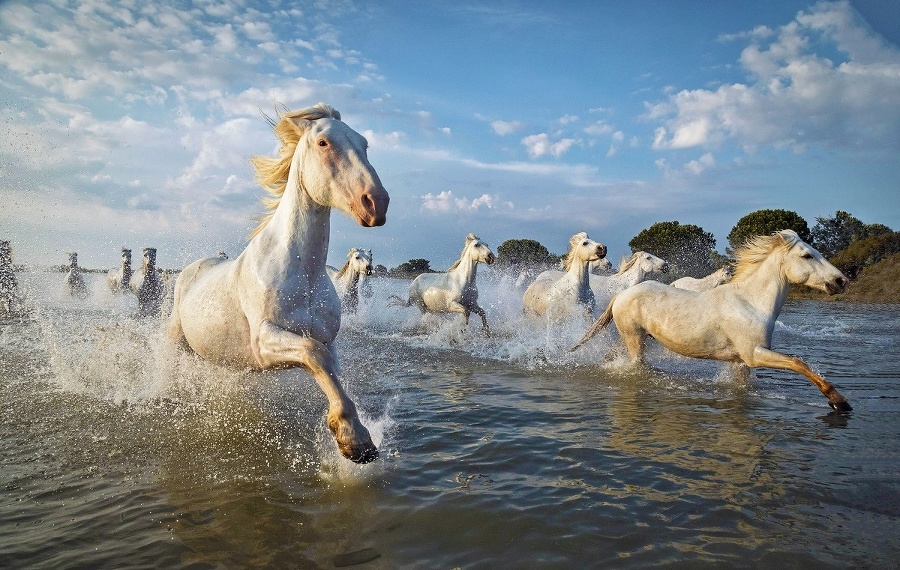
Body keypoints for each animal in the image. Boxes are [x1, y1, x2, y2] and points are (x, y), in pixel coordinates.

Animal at [167, 103, 388, 462]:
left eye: (364, 144)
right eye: (323, 143)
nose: (376, 203)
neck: (303, 274)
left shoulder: (327, 340)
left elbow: (329, 370)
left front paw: (355, 440)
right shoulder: (265, 340)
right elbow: (314, 355)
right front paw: (354, 440)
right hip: (175, 340)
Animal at [572, 229, 856, 410]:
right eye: (807, 255)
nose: (841, 281)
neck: (751, 303)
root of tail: (622, 294)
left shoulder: (741, 363)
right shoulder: (754, 353)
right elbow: (799, 363)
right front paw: (839, 401)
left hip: (635, 338)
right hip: (634, 339)